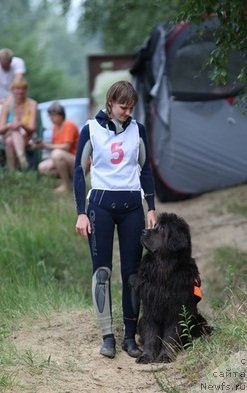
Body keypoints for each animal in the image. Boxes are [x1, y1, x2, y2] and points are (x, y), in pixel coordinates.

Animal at [132, 213, 211, 362]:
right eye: (155, 225)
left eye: (162, 228)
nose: (143, 231)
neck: (163, 270)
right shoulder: (150, 309)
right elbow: (151, 335)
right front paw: (147, 356)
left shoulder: (176, 311)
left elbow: (170, 337)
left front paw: (165, 356)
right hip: (140, 322)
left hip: (199, 321)